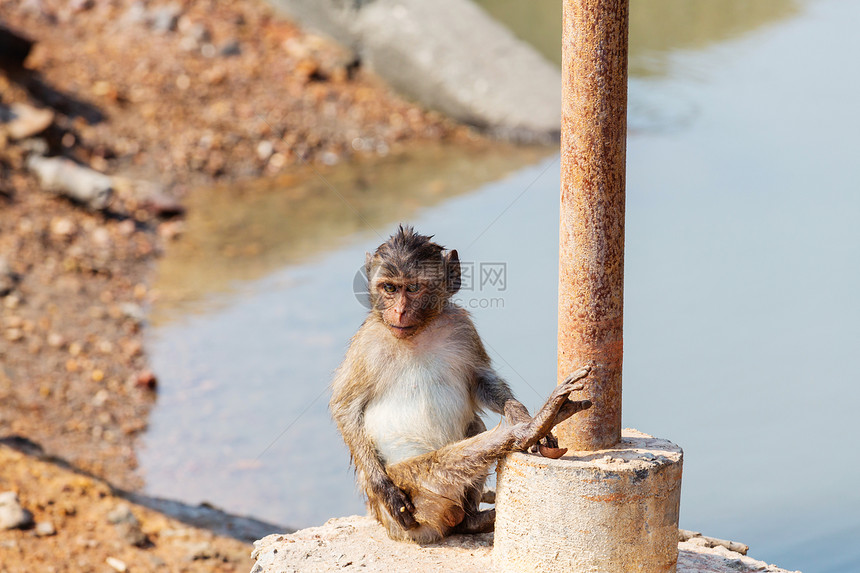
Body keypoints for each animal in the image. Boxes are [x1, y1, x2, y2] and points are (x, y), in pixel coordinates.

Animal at [330, 226, 592, 544]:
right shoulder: (366, 344)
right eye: (389, 288)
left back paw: (472, 519)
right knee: (447, 462)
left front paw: (519, 413)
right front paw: (383, 487)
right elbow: (345, 407)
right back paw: (530, 428)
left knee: (474, 427)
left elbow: (480, 380)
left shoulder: (462, 328)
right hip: (413, 496)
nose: (399, 312)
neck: (419, 332)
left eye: (413, 288)